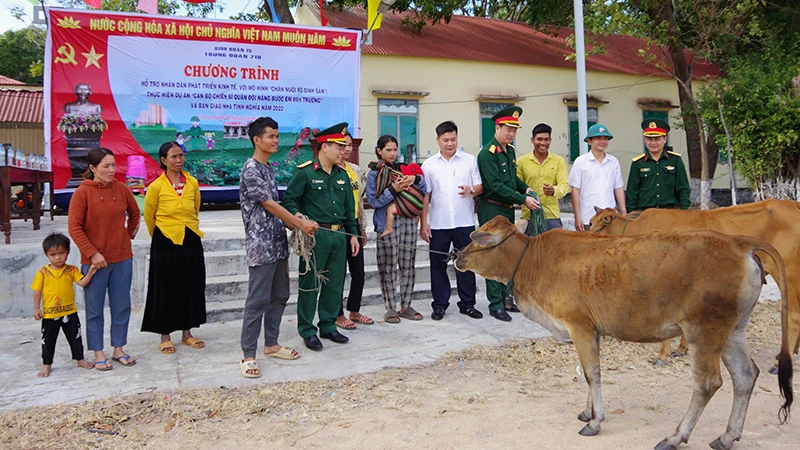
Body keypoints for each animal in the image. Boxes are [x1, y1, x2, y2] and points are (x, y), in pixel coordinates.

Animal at [456, 216, 792, 448]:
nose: (457, 256)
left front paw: (595, 422)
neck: (534, 261)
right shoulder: (592, 331)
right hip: (733, 330)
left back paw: (675, 437)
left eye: (480, 238)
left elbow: (592, 373)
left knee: (708, 383)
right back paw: (727, 436)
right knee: (745, 375)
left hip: (705, 331)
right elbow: (589, 374)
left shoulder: (579, 325)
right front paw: (587, 412)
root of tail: (741, 243)